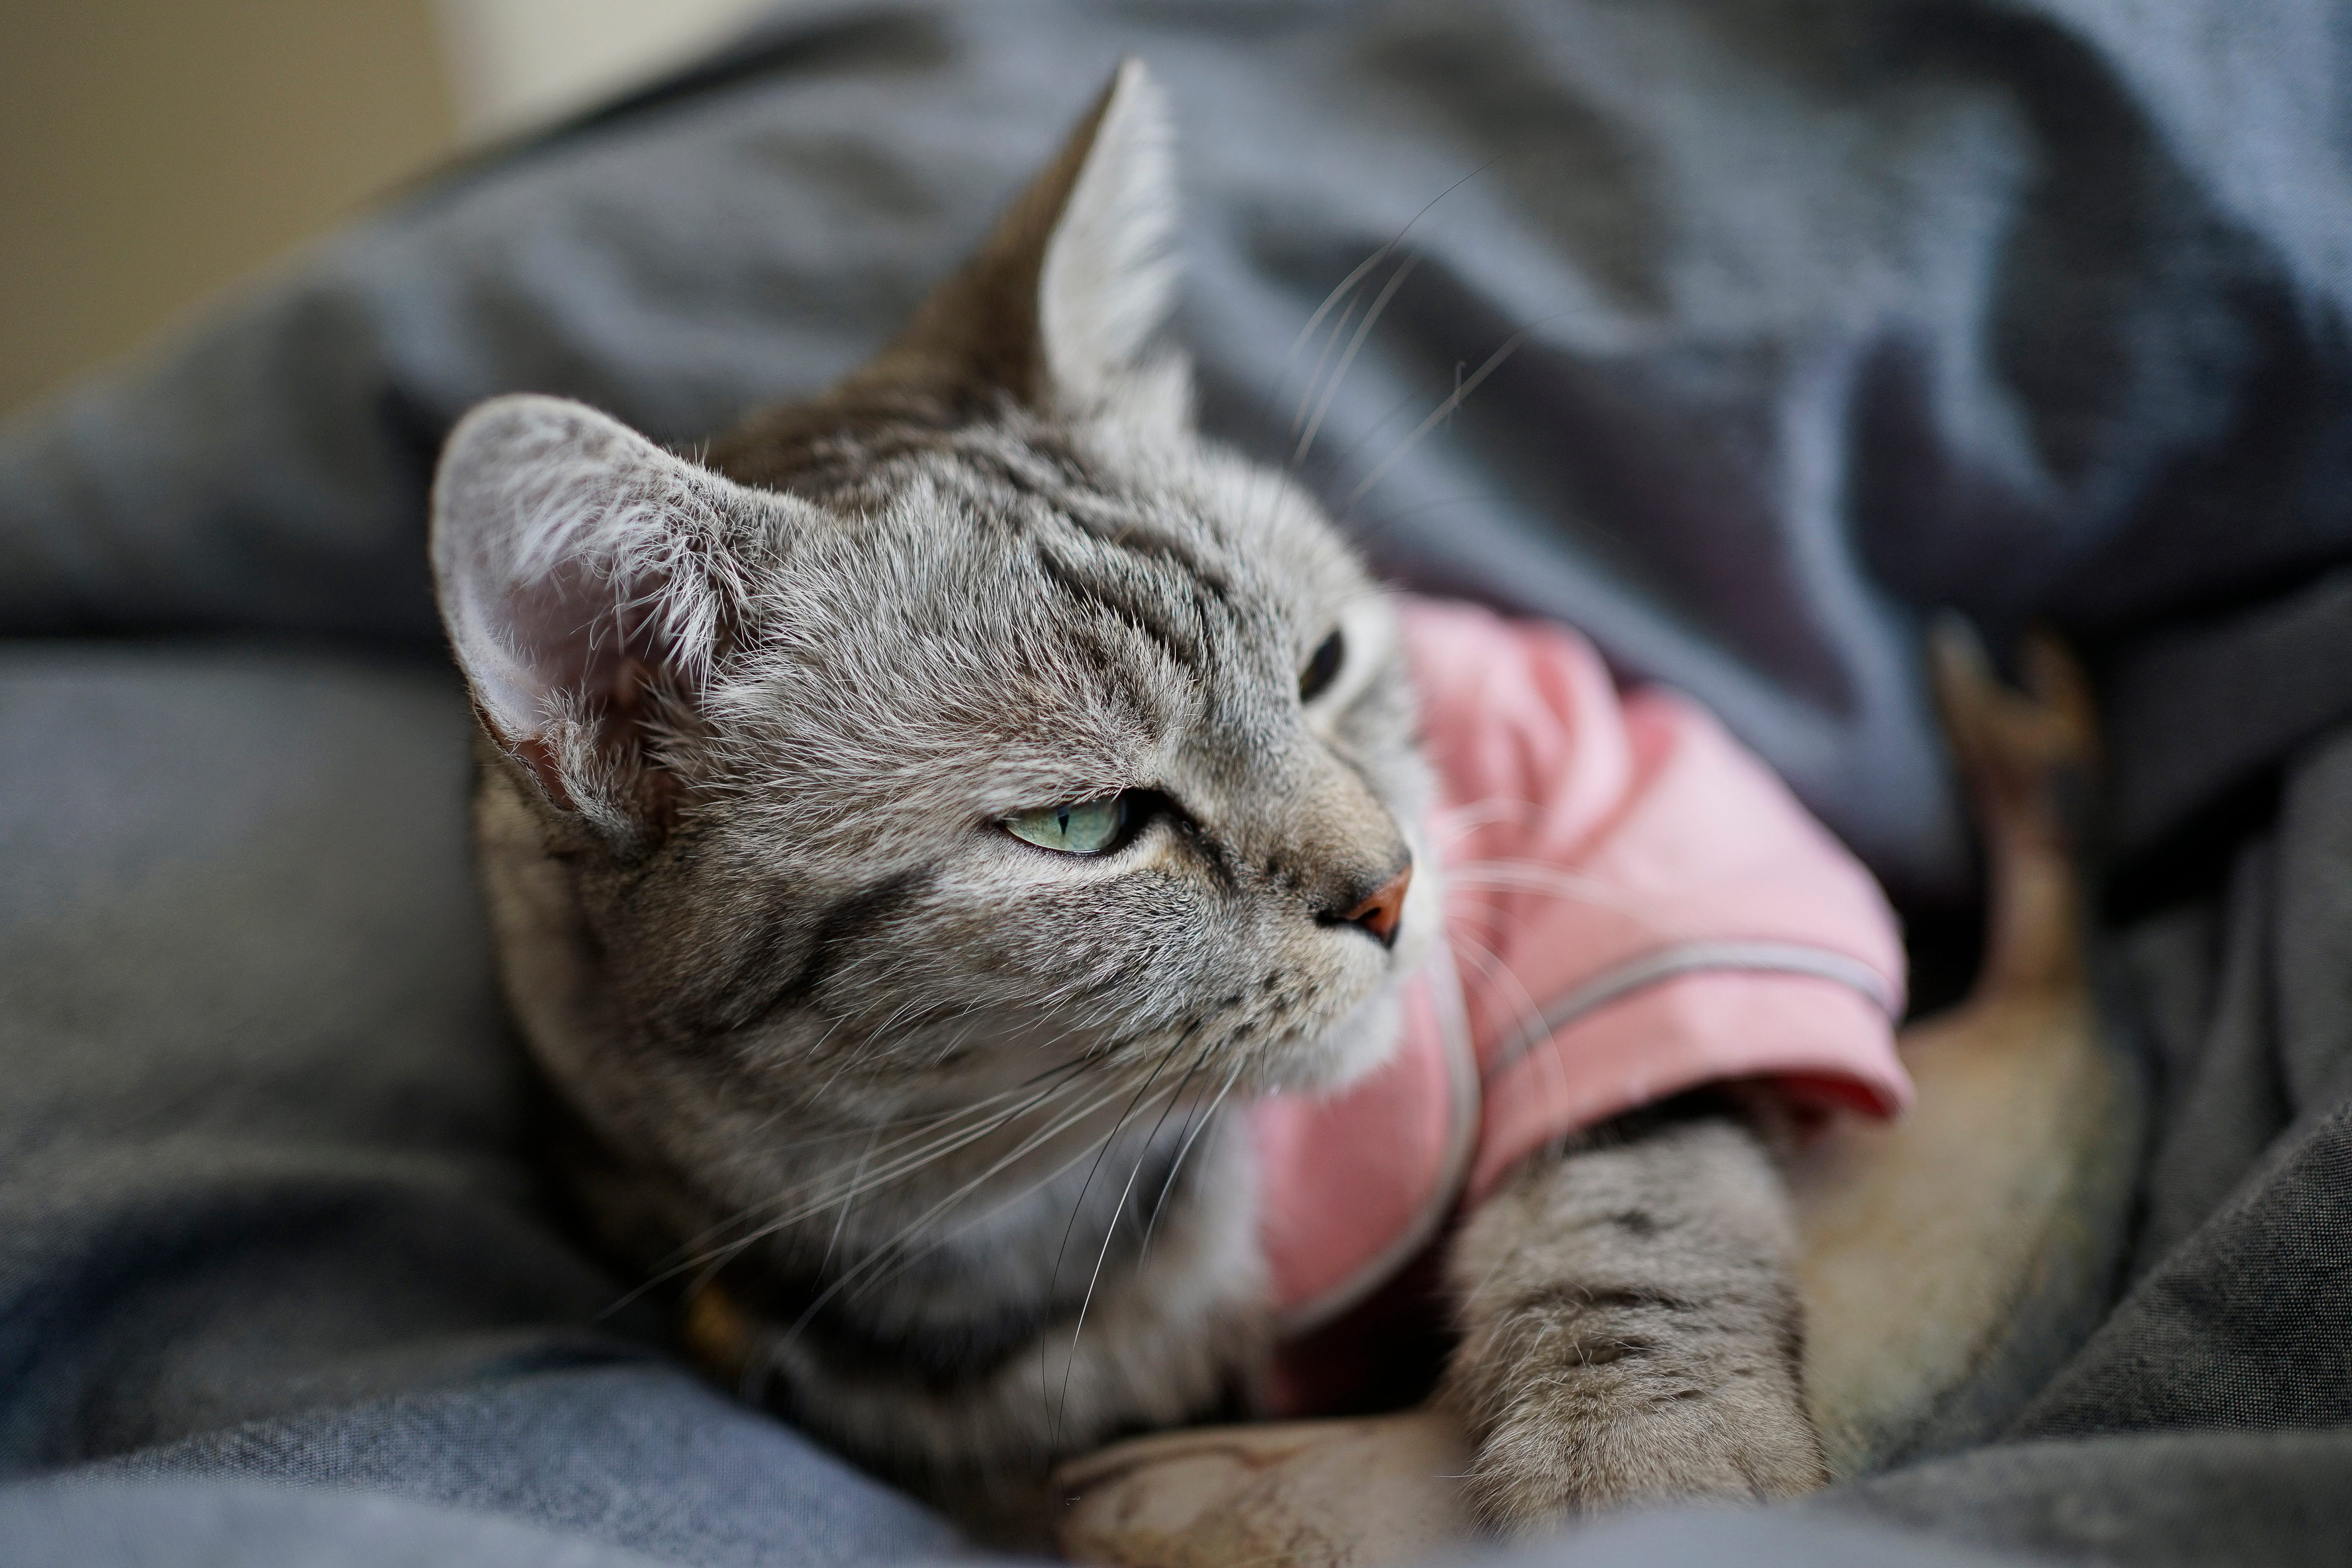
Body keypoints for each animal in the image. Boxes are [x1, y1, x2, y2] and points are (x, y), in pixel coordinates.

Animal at [437, 58, 1910, 1533]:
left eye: (1321, 666)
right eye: (1079, 824)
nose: (1393, 887)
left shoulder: (1628, 821)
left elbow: (1630, 1195)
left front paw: (1657, 1470)